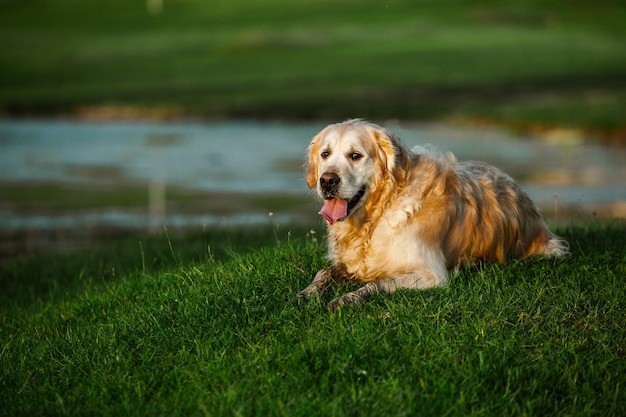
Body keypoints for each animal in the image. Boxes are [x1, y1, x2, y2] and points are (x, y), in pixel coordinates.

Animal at [296, 118, 564, 308]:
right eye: (325, 154)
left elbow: (380, 282)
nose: (326, 180)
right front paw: (308, 292)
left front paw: (347, 298)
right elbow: (324, 272)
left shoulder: (431, 275)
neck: (380, 211)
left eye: (355, 155)